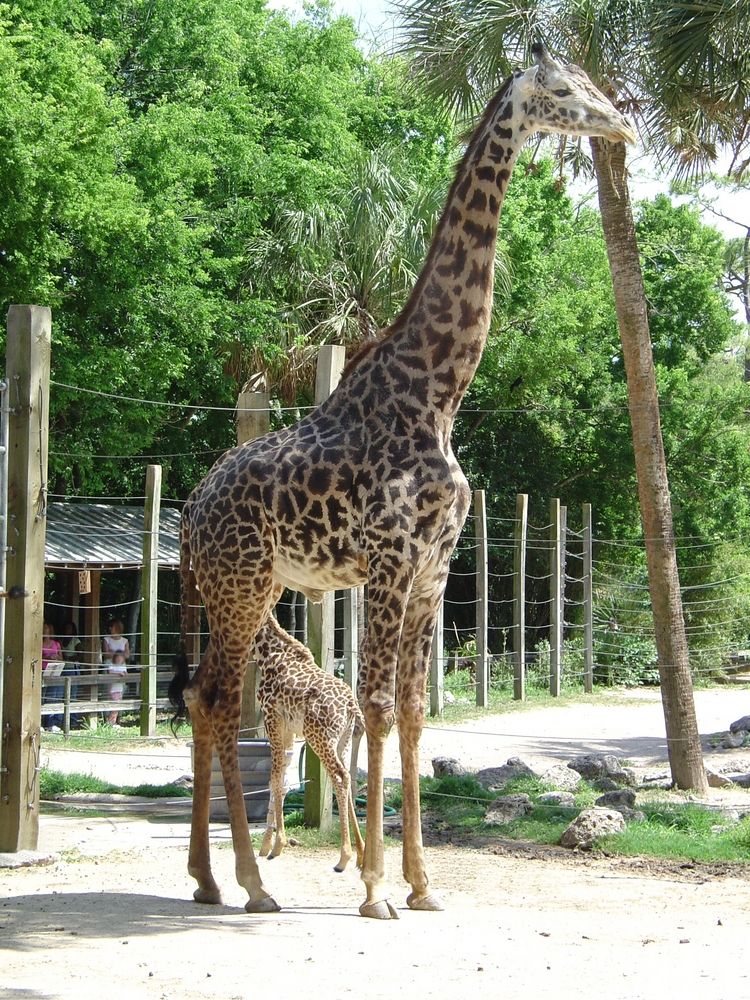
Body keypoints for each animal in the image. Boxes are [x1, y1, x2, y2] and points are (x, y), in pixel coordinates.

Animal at [252, 614, 365, 873]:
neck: (267, 655)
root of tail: (351, 706)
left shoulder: (272, 719)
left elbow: (275, 779)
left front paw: (277, 845)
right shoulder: (287, 730)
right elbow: (282, 780)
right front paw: (266, 846)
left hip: (320, 738)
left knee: (339, 777)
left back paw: (344, 857)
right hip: (343, 741)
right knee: (349, 777)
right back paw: (363, 854)